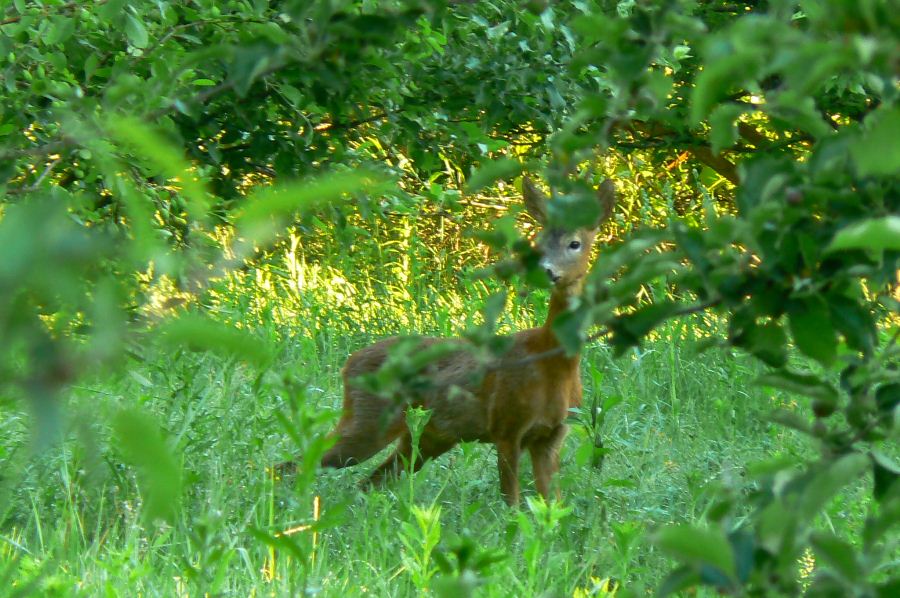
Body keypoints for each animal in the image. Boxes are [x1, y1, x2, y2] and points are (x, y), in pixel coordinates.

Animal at [288, 178, 620, 506]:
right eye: (539, 243)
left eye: (574, 243)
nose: (547, 271)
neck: (553, 363)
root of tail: (349, 363)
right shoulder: (506, 424)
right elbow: (512, 503)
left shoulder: (552, 435)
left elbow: (551, 504)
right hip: (368, 420)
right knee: (299, 463)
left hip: (427, 437)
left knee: (368, 480)